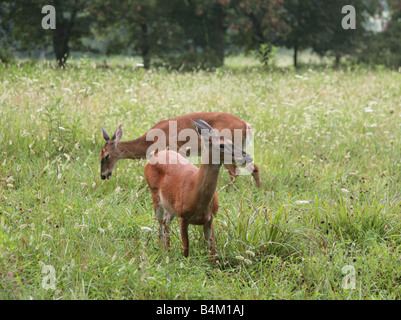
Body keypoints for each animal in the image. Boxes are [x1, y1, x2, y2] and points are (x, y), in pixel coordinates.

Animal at [100, 112, 262, 188]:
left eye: (106, 155)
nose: (103, 175)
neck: (148, 142)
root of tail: (246, 125)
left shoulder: (175, 149)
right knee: (253, 167)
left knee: (235, 171)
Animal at [144, 119, 252, 258]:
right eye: (222, 145)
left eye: (232, 141)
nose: (247, 157)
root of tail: (156, 155)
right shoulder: (183, 217)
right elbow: (186, 250)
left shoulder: (210, 219)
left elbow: (211, 251)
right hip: (155, 196)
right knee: (160, 226)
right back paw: (163, 252)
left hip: (170, 206)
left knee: (166, 224)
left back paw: (167, 249)